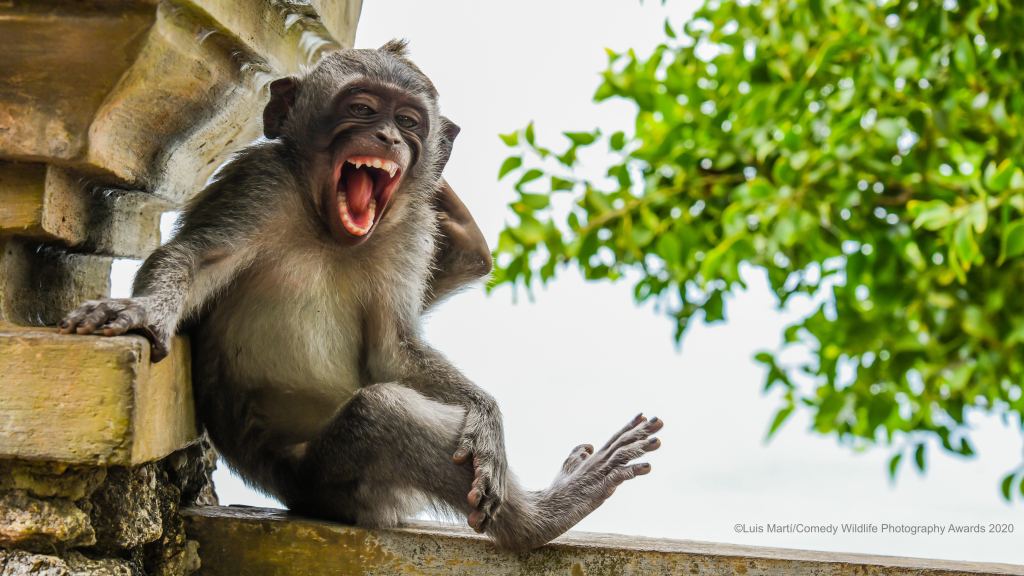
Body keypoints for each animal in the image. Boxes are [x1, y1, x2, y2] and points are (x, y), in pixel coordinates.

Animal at [58, 40, 663, 551]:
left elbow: (392, 348)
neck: (325, 226)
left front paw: (487, 416)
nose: (389, 139)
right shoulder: (260, 182)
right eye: (363, 109)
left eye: (409, 121)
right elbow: (195, 260)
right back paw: (544, 518)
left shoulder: (411, 230)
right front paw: (140, 311)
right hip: (325, 484)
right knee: (379, 414)